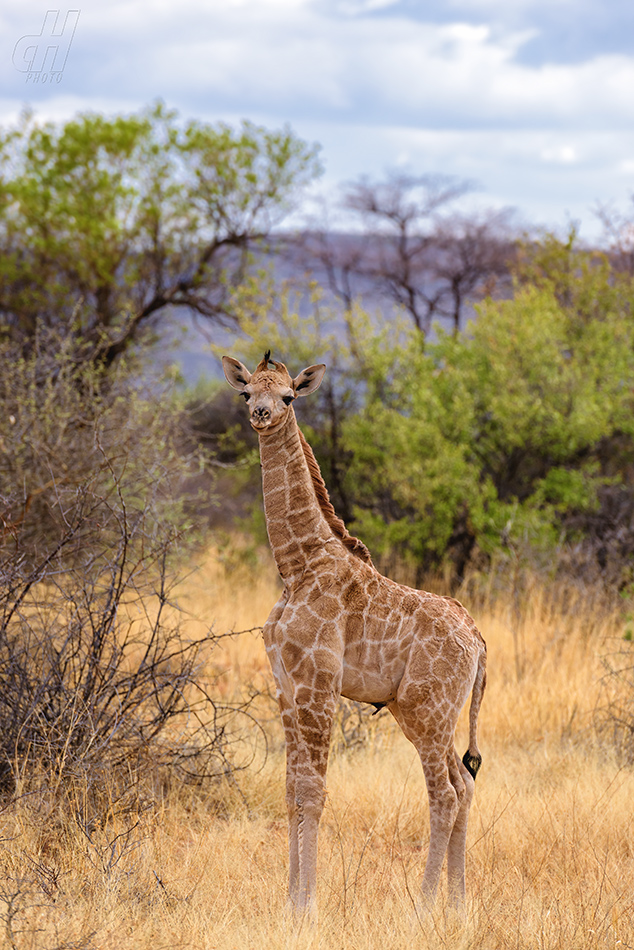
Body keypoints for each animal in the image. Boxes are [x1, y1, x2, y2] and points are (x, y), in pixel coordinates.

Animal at [220, 354, 486, 920]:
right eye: (247, 392)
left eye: (289, 396)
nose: (260, 414)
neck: (296, 566)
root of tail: (478, 643)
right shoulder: (286, 687)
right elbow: (291, 789)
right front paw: (289, 904)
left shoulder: (318, 684)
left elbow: (315, 790)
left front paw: (309, 908)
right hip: (426, 713)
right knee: (465, 784)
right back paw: (457, 905)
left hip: (428, 713)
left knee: (445, 795)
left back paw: (423, 908)